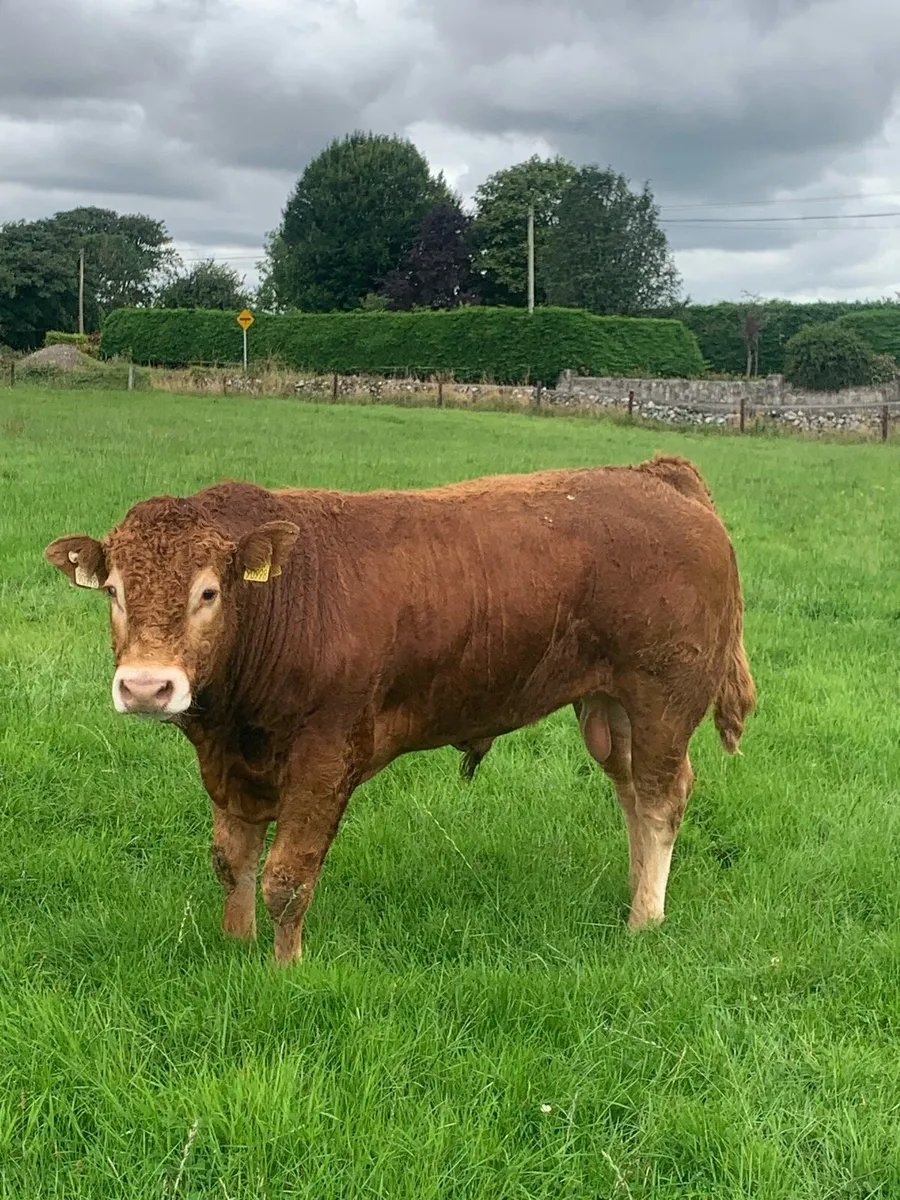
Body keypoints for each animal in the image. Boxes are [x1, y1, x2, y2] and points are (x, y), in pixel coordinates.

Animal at [44, 454, 755, 965]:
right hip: (610, 710)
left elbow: (287, 877)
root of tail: (654, 475)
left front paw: (283, 968)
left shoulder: (325, 757)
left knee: (661, 800)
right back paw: (633, 896)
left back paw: (645, 920)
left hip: (663, 698)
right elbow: (232, 860)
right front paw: (234, 944)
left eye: (209, 592)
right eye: (113, 591)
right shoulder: (230, 762)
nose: (146, 687)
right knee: (632, 794)